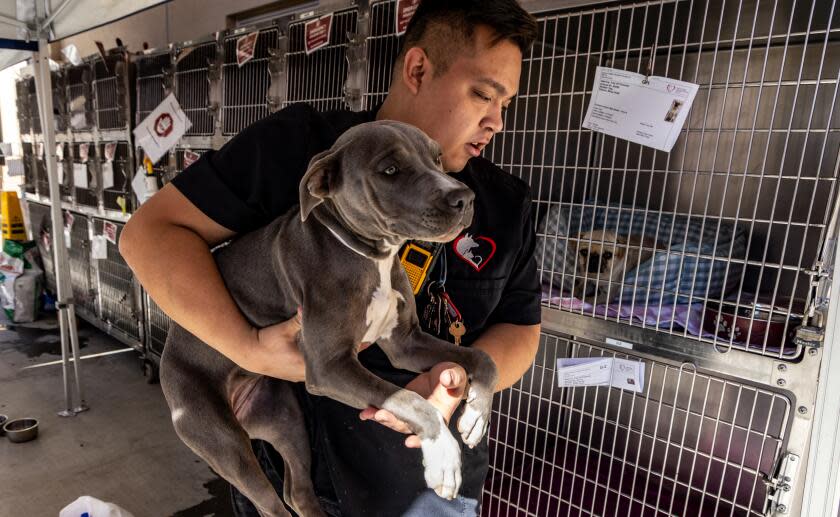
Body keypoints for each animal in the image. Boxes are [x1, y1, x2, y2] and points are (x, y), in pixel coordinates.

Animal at [160, 119, 498, 512]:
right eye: (390, 170)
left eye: (438, 158)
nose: (465, 198)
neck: (371, 257)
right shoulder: (329, 367)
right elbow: (408, 399)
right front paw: (443, 456)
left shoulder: (406, 344)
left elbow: (481, 356)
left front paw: (476, 415)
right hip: (225, 443)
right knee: (270, 501)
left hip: (284, 417)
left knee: (297, 490)